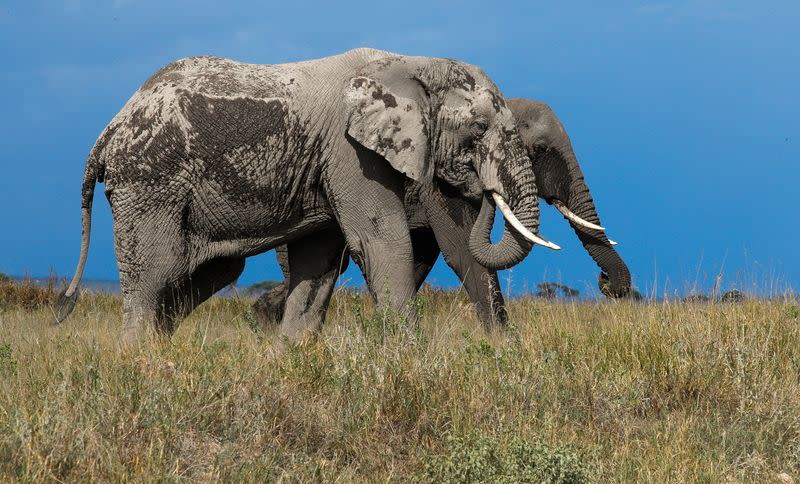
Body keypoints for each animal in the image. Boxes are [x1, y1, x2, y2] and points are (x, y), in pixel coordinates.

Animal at [56, 47, 556, 342]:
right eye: (478, 127)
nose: (485, 191)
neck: (410, 64)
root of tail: (107, 132)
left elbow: (319, 260)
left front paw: (290, 362)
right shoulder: (350, 152)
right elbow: (381, 240)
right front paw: (411, 364)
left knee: (206, 274)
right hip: (149, 182)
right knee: (156, 272)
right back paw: (140, 363)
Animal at [253, 97, 636, 328]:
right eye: (539, 150)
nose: (604, 281)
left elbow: (422, 260)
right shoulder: (437, 185)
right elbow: (462, 252)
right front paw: (503, 347)